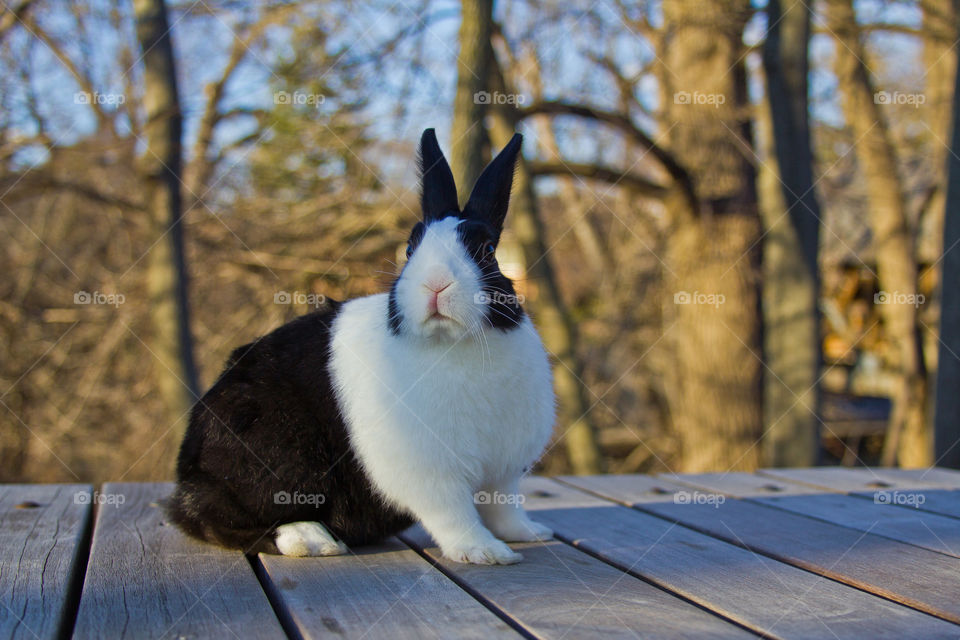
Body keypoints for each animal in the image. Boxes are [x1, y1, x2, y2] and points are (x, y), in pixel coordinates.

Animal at [166, 128, 556, 565]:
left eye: (488, 251)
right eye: (410, 249)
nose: (435, 284)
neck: (453, 343)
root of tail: (189, 473)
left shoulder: (502, 472)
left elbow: (503, 507)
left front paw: (529, 533)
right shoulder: (432, 476)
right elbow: (454, 514)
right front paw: (485, 552)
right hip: (269, 459)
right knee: (213, 519)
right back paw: (309, 538)